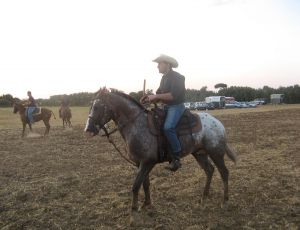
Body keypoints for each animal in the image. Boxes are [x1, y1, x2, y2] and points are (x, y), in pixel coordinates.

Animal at [84, 90, 237, 214]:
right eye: (91, 106)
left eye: (97, 107)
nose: (88, 129)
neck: (136, 124)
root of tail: (219, 124)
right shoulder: (140, 163)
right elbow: (145, 183)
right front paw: (146, 204)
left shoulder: (147, 162)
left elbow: (136, 185)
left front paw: (134, 209)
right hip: (200, 153)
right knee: (209, 170)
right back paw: (203, 197)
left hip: (216, 153)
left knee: (224, 172)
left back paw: (225, 201)